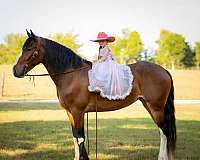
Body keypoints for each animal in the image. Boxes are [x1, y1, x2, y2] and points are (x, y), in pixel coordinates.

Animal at [12, 30, 176, 160]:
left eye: (30, 48)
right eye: (23, 48)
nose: (15, 70)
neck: (71, 74)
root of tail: (164, 70)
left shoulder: (78, 112)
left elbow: (80, 137)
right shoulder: (70, 113)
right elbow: (74, 136)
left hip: (156, 107)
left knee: (164, 131)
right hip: (148, 105)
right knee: (162, 130)